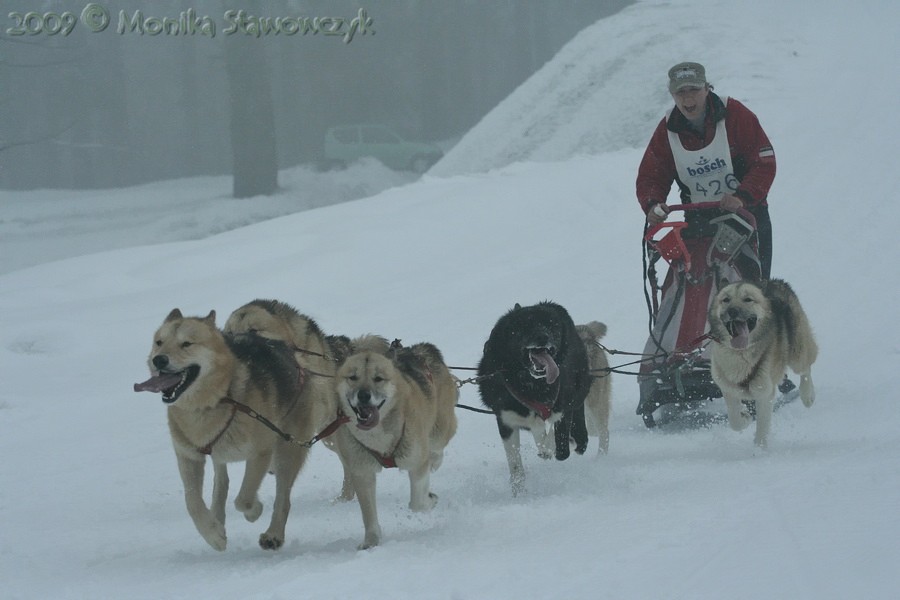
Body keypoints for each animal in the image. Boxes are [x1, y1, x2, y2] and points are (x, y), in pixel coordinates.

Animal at [134, 312, 316, 552]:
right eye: (159, 342)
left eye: (186, 344)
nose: (159, 360)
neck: (214, 401)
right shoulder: (188, 456)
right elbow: (192, 501)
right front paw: (213, 534)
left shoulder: (260, 452)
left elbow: (244, 498)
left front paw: (254, 510)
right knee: (221, 481)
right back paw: (217, 515)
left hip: (287, 450)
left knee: (283, 497)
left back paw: (274, 534)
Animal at [334, 338, 458, 548]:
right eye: (353, 377)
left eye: (378, 378)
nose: (363, 395)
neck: (379, 438)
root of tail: (420, 349)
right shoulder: (362, 472)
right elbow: (369, 515)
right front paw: (371, 541)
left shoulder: (416, 463)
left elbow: (417, 503)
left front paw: (430, 499)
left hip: (440, 429)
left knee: (436, 448)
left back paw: (435, 460)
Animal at [474, 302, 596, 494]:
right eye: (525, 326)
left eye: (552, 326)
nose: (543, 337)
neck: (533, 385)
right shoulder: (506, 420)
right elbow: (515, 465)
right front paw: (519, 492)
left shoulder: (563, 405)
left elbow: (560, 446)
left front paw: (552, 446)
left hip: (579, 386)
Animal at [708, 280, 820, 446]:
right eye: (726, 300)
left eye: (748, 299)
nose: (733, 311)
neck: (740, 355)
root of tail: (774, 281)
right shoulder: (728, 388)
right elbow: (735, 421)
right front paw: (745, 417)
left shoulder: (765, 394)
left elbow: (762, 427)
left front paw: (759, 449)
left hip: (797, 353)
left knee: (806, 368)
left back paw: (808, 395)